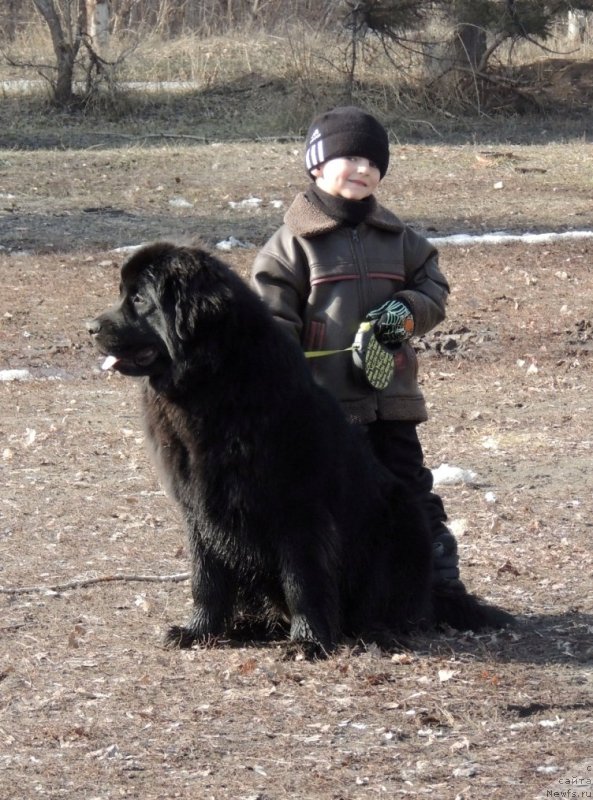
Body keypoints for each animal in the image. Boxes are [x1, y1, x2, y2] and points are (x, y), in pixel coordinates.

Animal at [85, 241, 512, 652]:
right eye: (123, 294)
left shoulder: (298, 509)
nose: (90, 326)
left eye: (139, 299)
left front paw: (309, 640)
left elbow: (302, 579)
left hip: (401, 521)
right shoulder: (198, 507)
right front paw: (199, 631)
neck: (214, 384)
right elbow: (206, 576)